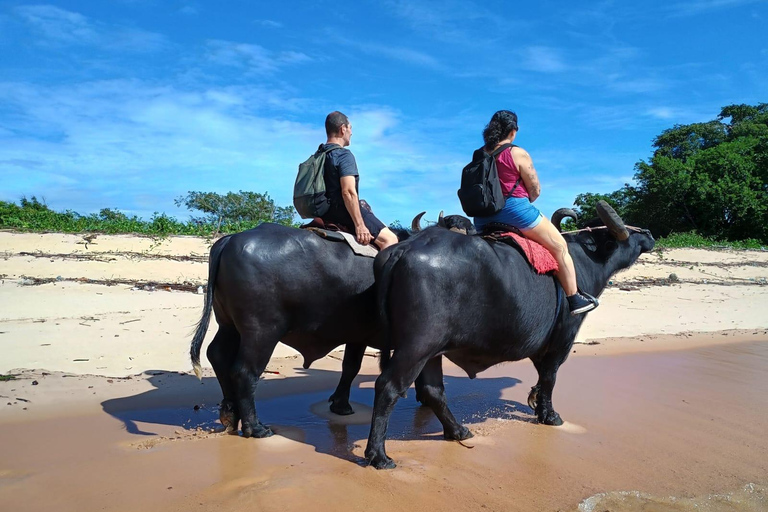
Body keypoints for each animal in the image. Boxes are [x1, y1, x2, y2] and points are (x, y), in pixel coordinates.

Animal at [364, 201, 655, 469]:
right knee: (388, 386)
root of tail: (402, 249)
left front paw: (535, 402)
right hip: (416, 347)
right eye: (623, 228)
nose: (649, 233)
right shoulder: (563, 338)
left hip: (433, 351)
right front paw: (550, 416)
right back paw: (379, 455)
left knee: (433, 390)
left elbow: (540, 377)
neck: (583, 260)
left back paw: (458, 431)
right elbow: (550, 377)